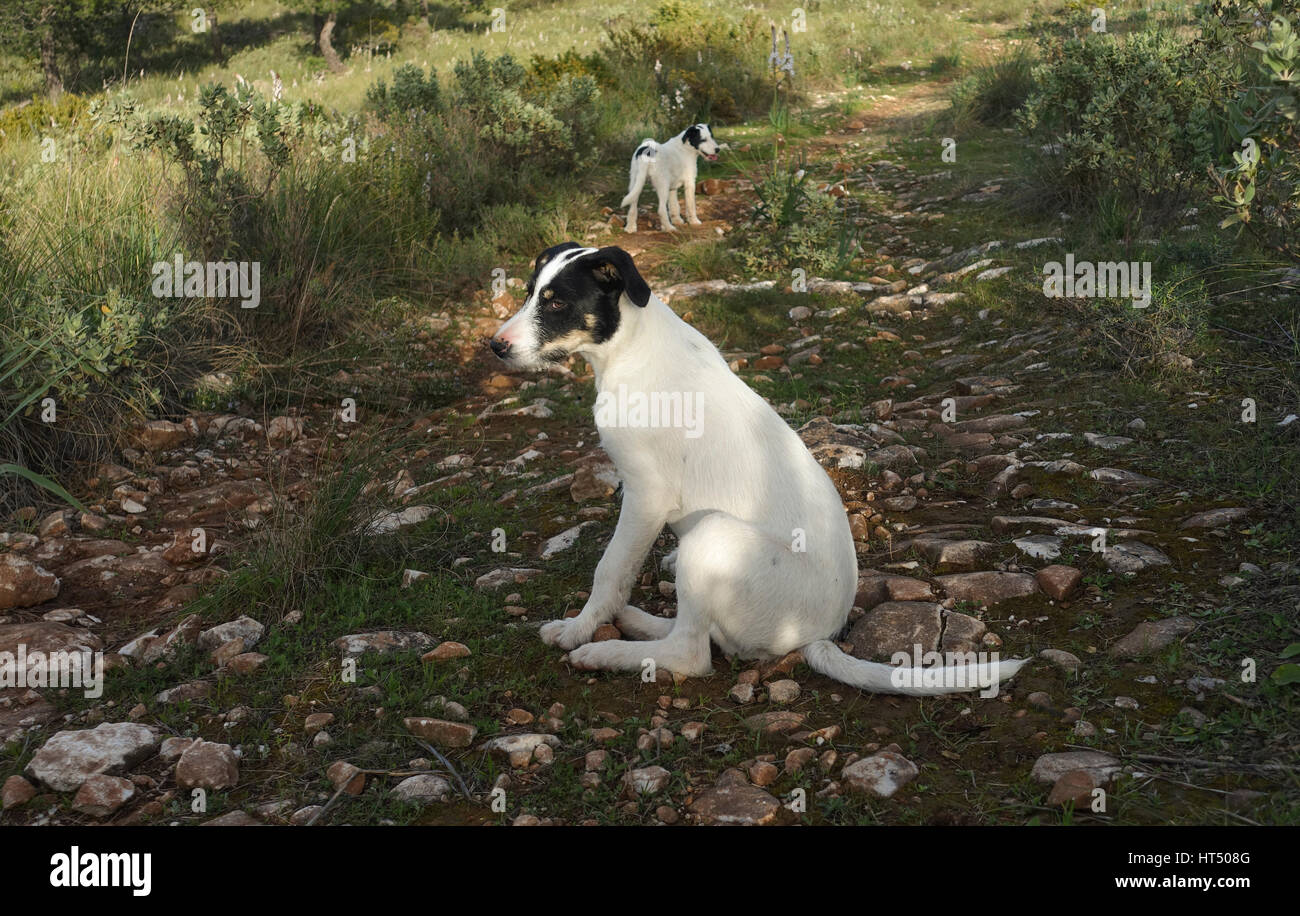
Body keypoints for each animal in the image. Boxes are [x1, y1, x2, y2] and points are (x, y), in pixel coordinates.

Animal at [488, 242, 1024, 691]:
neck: (632, 351)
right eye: (531, 293)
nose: (494, 346)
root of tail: (817, 634)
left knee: (691, 653)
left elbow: (610, 571)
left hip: (713, 537)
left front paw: (578, 629)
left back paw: (607, 651)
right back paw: (639, 622)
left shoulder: (645, 495)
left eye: (557, 303)